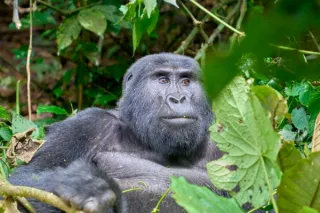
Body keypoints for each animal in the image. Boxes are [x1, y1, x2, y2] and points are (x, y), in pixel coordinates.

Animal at [7, 52, 234, 211]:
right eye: (162, 80)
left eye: (186, 81)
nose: (178, 98)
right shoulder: (89, 125)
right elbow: (24, 183)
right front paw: (94, 188)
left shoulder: (223, 143)